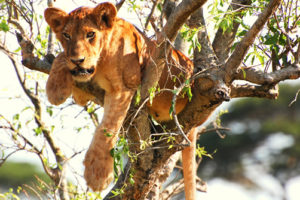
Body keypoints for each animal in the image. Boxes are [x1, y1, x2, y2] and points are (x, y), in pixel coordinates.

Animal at [44, 2, 197, 199]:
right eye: (66, 35)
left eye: (90, 34)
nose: (78, 60)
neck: (100, 61)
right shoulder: (83, 93)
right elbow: (61, 56)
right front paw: (55, 88)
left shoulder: (124, 88)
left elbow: (108, 126)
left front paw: (98, 172)